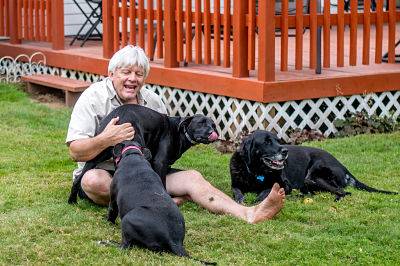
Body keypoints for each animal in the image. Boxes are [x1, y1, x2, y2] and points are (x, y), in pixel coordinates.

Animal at [69, 104, 219, 204]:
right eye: (200, 123)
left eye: (213, 125)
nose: (212, 133)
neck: (180, 131)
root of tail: (120, 115)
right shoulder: (160, 162)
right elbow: (162, 183)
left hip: (98, 153)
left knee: (78, 179)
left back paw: (72, 200)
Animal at [231, 129, 396, 202]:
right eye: (266, 142)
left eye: (278, 140)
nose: (285, 151)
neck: (256, 171)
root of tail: (343, 167)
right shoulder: (235, 184)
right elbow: (237, 191)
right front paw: (240, 199)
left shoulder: (284, 185)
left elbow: (267, 190)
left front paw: (259, 198)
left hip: (313, 176)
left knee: (343, 192)